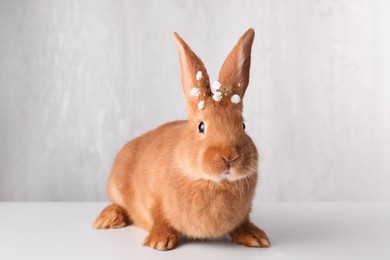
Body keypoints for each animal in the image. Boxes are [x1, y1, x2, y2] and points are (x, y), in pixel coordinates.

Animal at [93, 27, 272, 250]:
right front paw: (159, 241)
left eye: (243, 125)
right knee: (118, 204)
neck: (211, 182)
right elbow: (159, 217)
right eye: (201, 126)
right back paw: (107, 220)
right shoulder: (155, 200)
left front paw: (255, 237)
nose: (230, 157)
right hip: (116, 185)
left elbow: (243, 221)